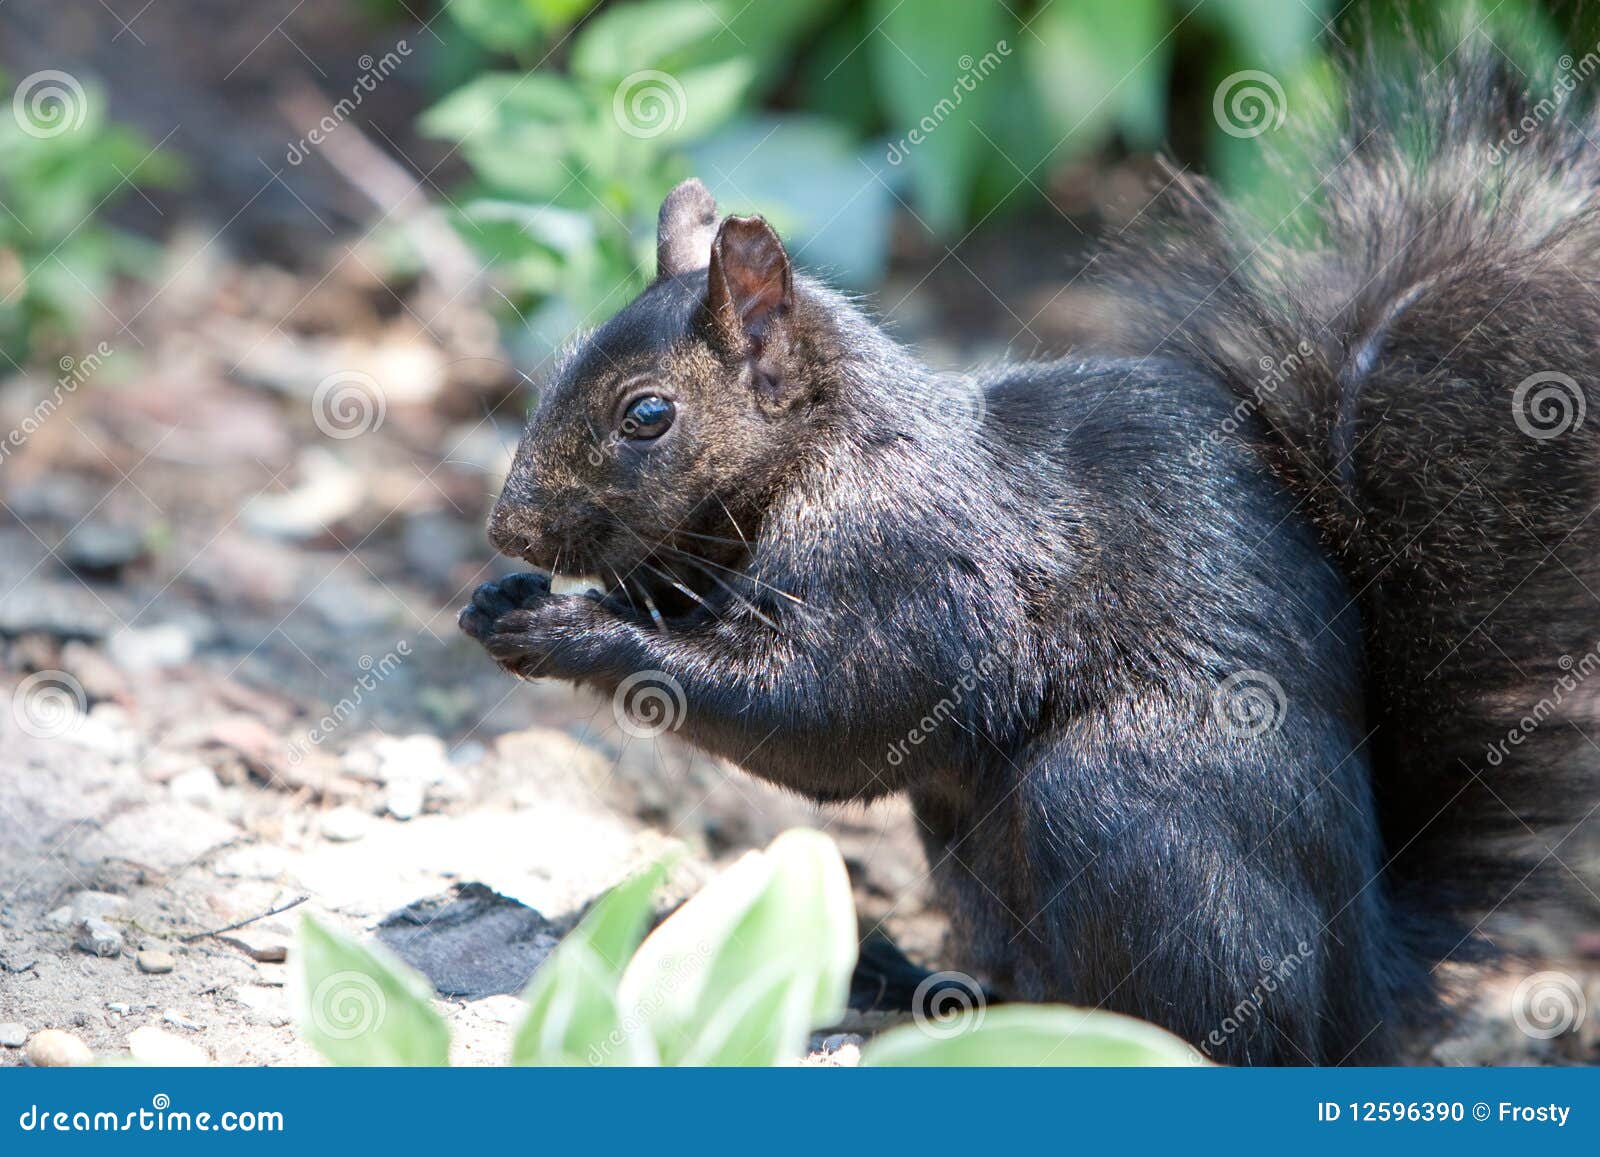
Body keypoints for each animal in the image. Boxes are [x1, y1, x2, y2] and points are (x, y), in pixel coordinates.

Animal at [457, 49, 1600, 1062]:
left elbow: (834, 708)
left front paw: (567, 625)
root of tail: (1365, 985)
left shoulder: (917, 569)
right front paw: (503, 597)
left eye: (647, 413)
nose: (510, 530)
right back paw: (918, 987)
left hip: (1123, 797)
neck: (833, 447)